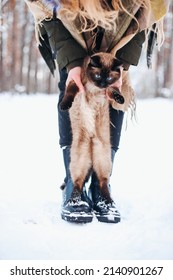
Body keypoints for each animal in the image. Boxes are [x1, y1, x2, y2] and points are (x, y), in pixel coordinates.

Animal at [60, 52, 123, 205]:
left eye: (109, 78)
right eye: (98, 76)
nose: (102, 84)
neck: (95, 88)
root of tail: (91, 142)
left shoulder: (109, 90)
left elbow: (115, 91)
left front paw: (120, 99)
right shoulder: (75, 83)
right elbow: (69, 94)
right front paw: (64, 105)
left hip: (103, 159)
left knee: (102, 182)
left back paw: (107, 201)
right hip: (79, 161)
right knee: (78, 182)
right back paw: (74, 200)